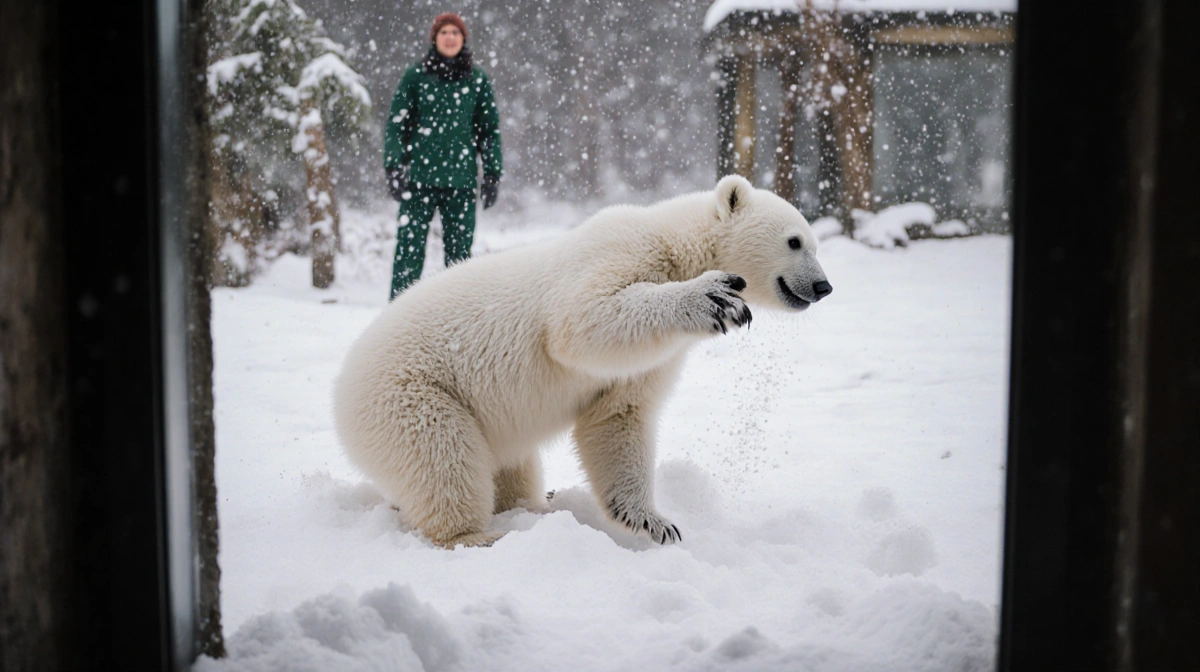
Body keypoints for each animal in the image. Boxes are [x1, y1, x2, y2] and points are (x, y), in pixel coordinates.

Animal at [332, 175, 832, 548]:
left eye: (815, 243)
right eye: (795, 241)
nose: (823, 286)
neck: (676, 243)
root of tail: (341, 389)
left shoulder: (657, 357)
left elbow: (619, 413)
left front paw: (652, 521)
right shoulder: (620, 251)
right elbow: (582, 321)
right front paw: (715, 296)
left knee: (513, 468)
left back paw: (539, 504)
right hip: (414, 396)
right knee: (444, 461)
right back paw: (476, 535)